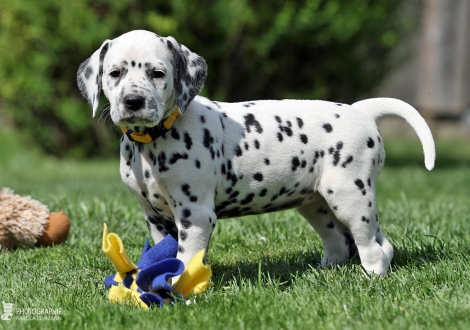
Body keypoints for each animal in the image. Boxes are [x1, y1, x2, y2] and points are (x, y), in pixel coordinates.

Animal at [77, 29, 434, 276]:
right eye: (115, 73)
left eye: (157, 73)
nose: (133, 102)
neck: (154, 140)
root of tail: (360, 110)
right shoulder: (154, 217)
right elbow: (164, 255)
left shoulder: (195, 214)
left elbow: (186, 258)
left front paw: (179, 288)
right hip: (316, 203)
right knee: (350, 242)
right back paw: (324, 274)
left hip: (350, 196)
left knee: (370, 244)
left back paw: (371, 277)